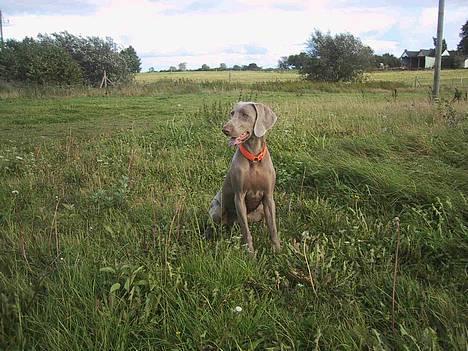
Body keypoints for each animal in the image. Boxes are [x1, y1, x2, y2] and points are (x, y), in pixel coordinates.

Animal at [207, 102, 280, 253]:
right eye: (232, 113)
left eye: (245, 115)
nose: (225, 130)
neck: (254, 157)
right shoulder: (239, 197)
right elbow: (246, 232)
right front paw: (250, 253)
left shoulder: (269, 197)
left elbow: (273, 228)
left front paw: (277, 250)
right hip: (217, 209)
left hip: (259, 211)